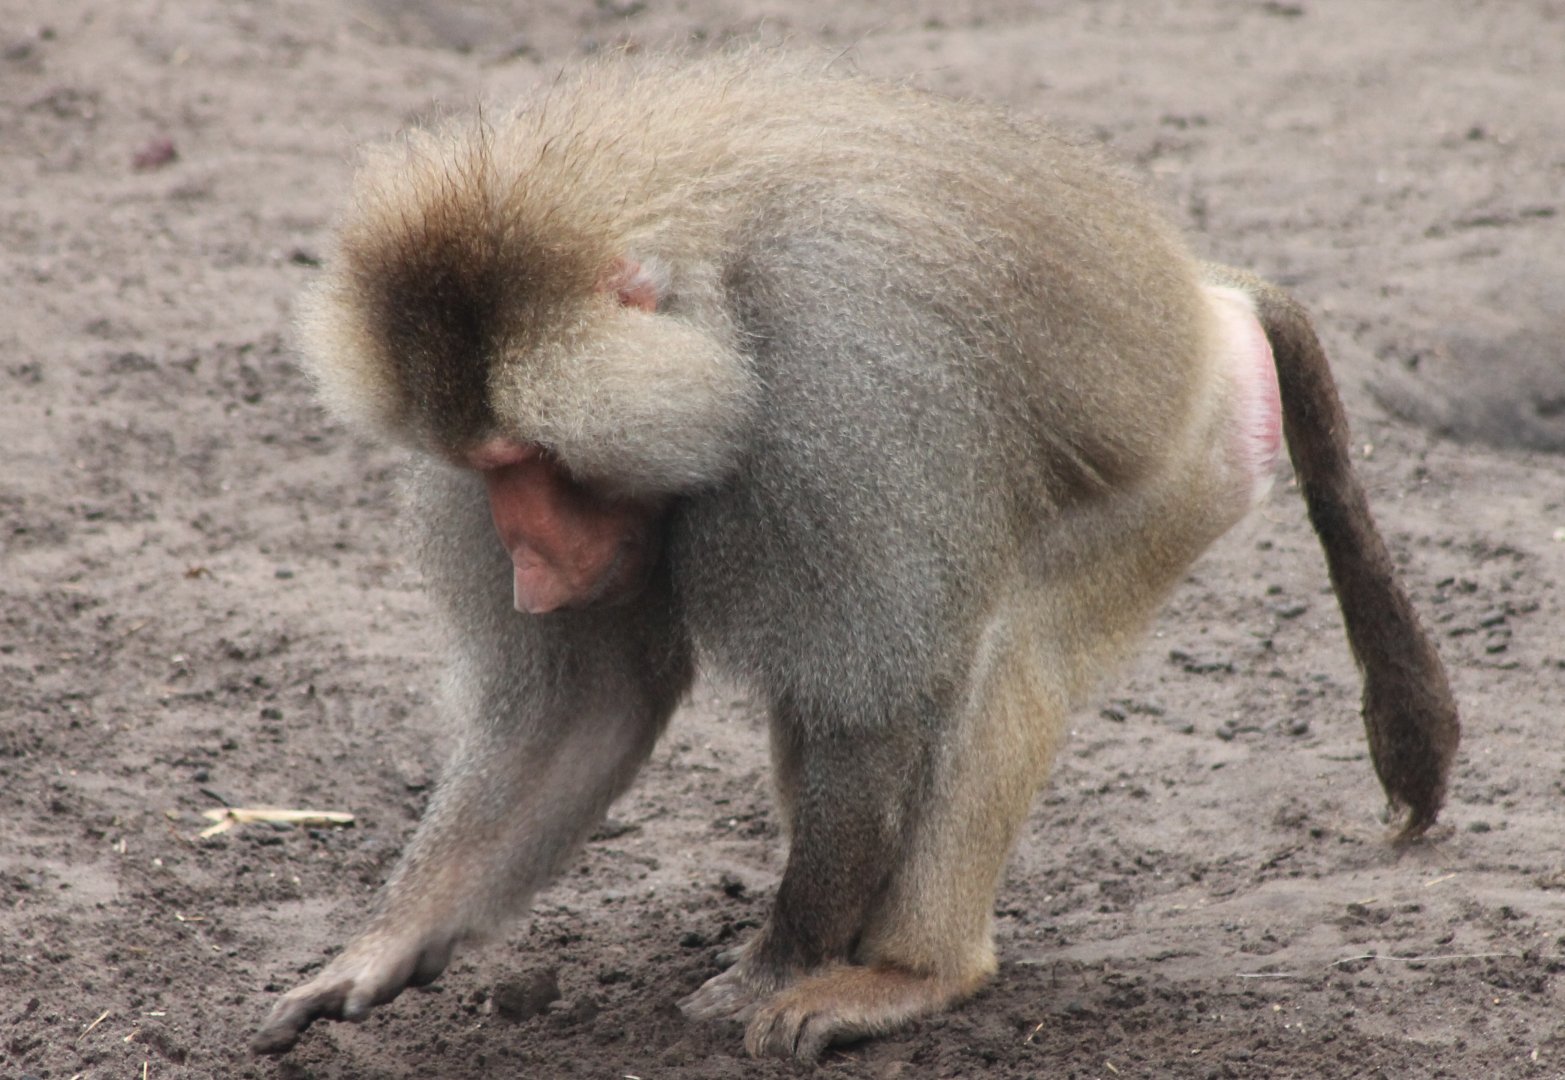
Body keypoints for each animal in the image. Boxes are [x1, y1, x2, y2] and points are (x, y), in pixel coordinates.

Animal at [252, 51, 1460, 1061]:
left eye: (534, 460)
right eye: (487, 468)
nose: (532, 573)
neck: (721, 316)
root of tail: (1205, 308)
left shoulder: (840, 386)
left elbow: (872, 708)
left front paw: (772, 967)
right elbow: (585, 701)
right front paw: (385, 946)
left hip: (1181, 480)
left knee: (1003, 664)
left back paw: (909, 974)